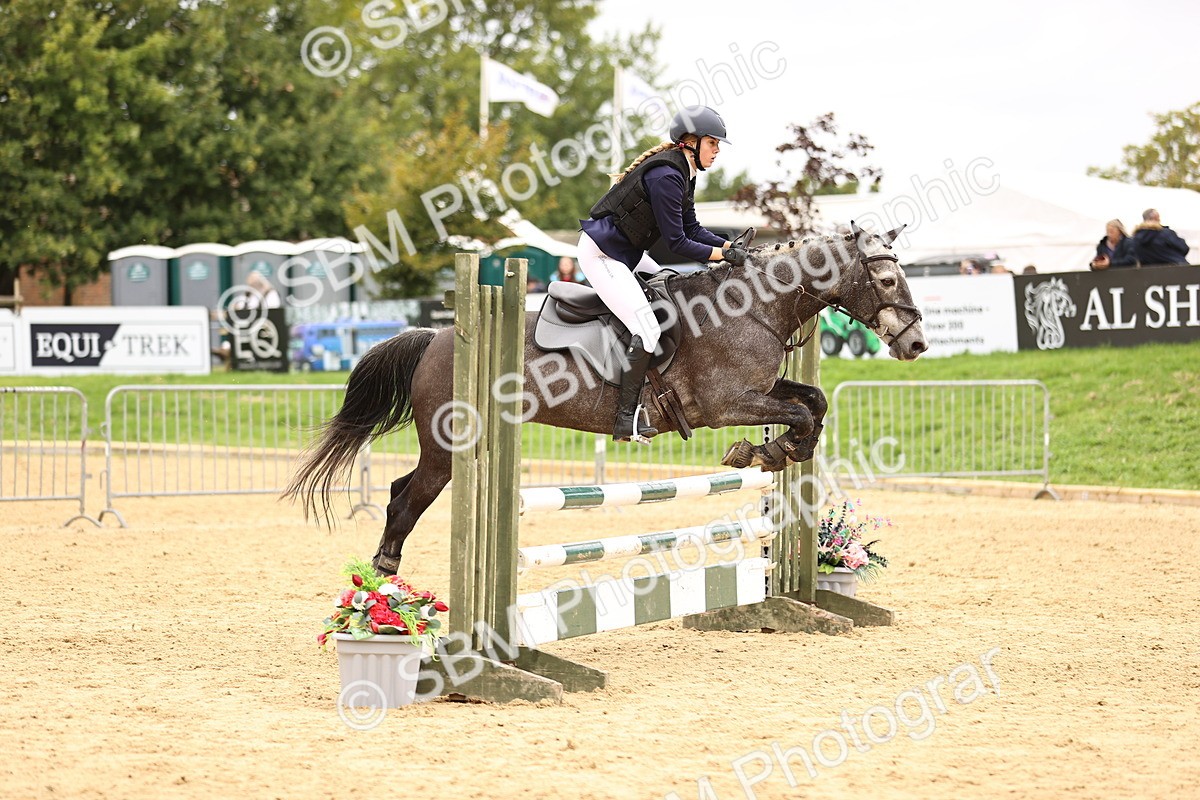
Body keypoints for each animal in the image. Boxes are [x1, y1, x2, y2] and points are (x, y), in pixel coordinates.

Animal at [284, 224, 927, 574]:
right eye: (887, 279)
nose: (916, 342)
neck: (753, 307)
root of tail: (439, 335)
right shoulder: (726, 403)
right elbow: (796, 413)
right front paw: (761, 452)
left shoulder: (761, 391)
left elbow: (812, 403)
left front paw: (781, 451)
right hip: (450, 447)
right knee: (405, 501)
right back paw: (385, 575)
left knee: (401, 490)